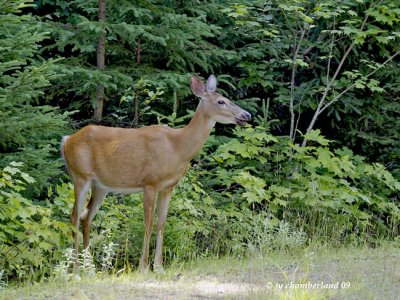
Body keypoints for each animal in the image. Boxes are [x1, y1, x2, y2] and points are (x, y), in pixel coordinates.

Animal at [60, 75, 250, 272]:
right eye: (221, 101)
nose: (247, 115)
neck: (177, 148)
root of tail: (66, 141)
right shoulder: (149, 183)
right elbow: (148, 224)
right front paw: (143, 267)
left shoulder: (168, 187)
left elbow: (161, 223)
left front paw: (159, 267)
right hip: (80, 175)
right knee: (74, 216)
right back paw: (75, 269)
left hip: (100, 185)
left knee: (86, 217)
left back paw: (89, 269)